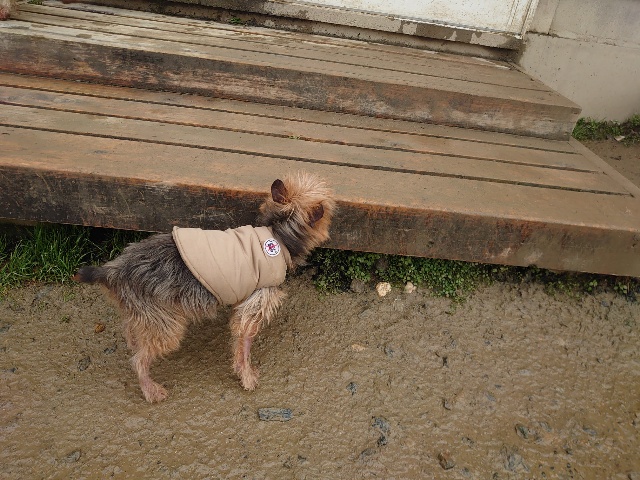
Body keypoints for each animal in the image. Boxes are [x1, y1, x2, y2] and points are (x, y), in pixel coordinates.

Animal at [74, 172, 335, 402]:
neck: (280, 234)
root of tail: (114, 269)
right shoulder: (256, 303)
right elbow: (244, 342)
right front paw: (247, 376)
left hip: (145, 311)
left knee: (130, 326)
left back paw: (133, 342)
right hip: (167, 326)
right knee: (139, 361)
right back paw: (151, 390)